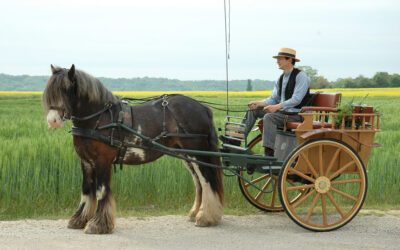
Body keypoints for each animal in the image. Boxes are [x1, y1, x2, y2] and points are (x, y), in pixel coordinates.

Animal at [43, 65, 225, 234]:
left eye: (66, 89)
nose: (52, 120)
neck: (100, 117)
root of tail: (203, 108)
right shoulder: (86, 162)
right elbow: (87, 191)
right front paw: (79, 220)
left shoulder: (102, 161)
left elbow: (101, 191)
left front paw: (98, 225)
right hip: (186, 154)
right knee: (198, 182)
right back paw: (196, 213)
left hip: (197, 153)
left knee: (207, 180)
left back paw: (205, 217)